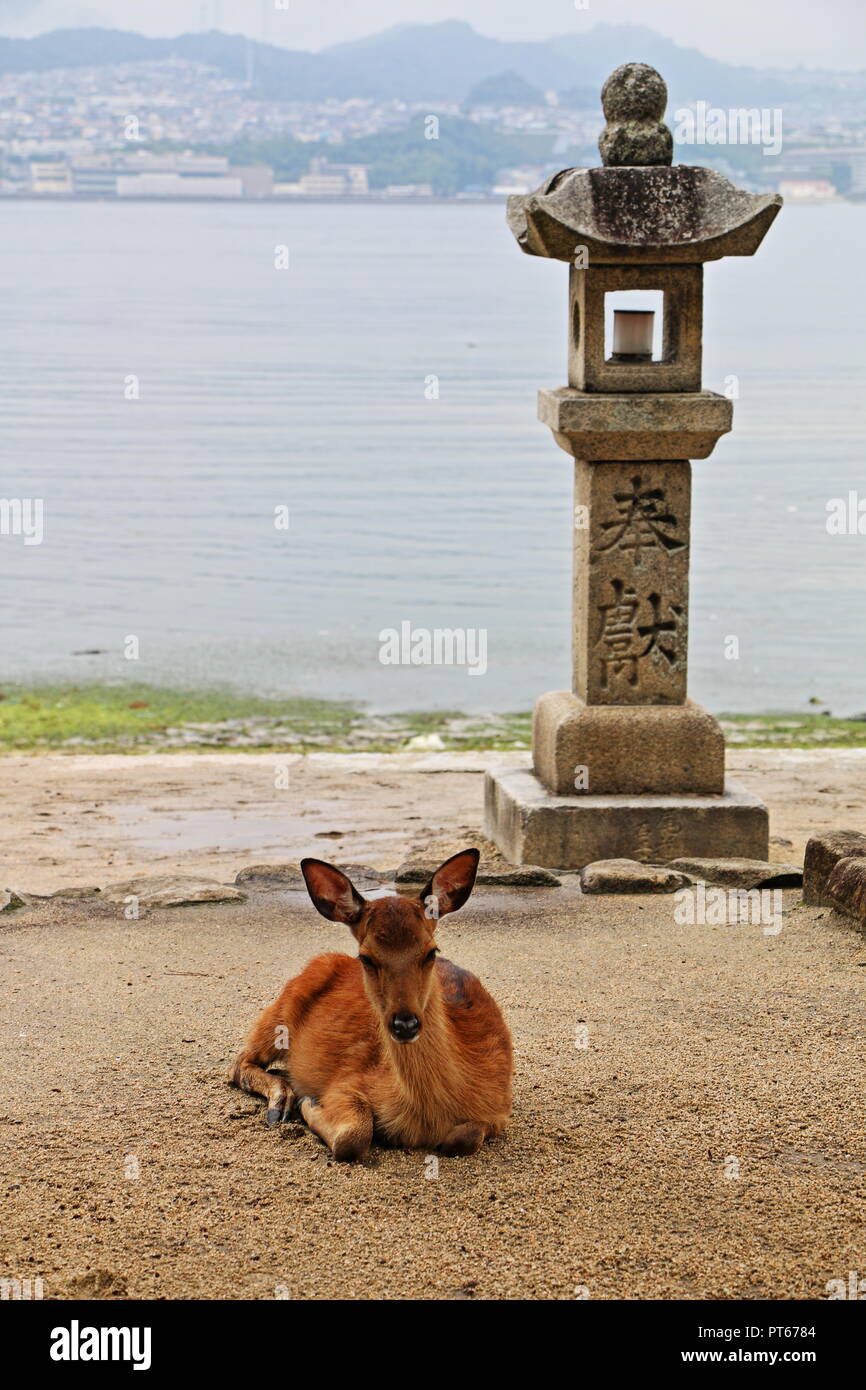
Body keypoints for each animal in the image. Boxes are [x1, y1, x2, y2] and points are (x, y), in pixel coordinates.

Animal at [230, 845, 514, 1162]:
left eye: (431, 952)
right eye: (366, 957)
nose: (405, 1024)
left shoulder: (500, 1108)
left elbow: (464, 1138)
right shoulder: (346, 1082)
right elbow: (353, 1137)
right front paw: (309, 1103)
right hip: (278, 1014)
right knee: (240, 1062)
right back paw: (281, 1103)